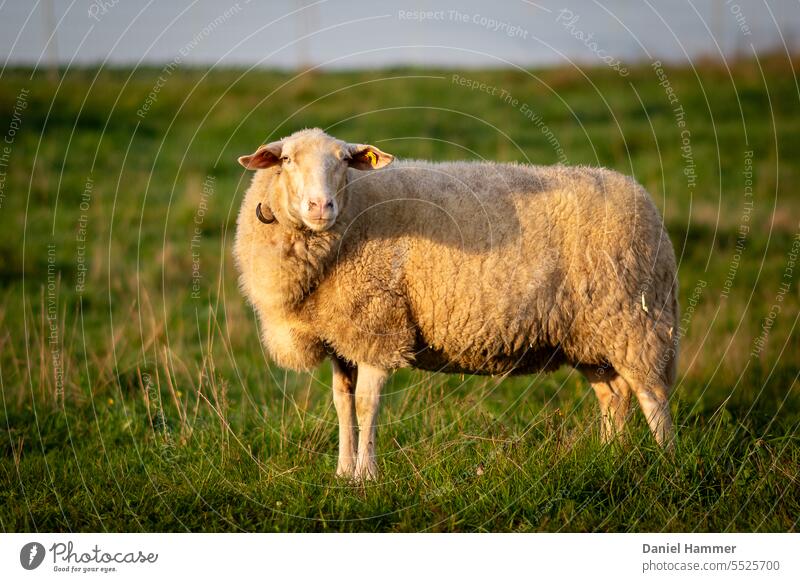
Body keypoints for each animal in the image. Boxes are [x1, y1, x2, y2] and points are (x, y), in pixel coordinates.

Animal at [234, 130, 680, 482]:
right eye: (287, 160)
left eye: (345, 161)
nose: (320, 207)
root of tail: (643, 198)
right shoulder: (342, 334)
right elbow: (342, 404)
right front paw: (343, 473)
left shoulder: (380, 326)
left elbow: (365, 404)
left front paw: (366, 477)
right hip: (590, 335)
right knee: (614, 396)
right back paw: (611, 456)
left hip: (635, 319)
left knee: (653, 396)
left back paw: (666, 463)